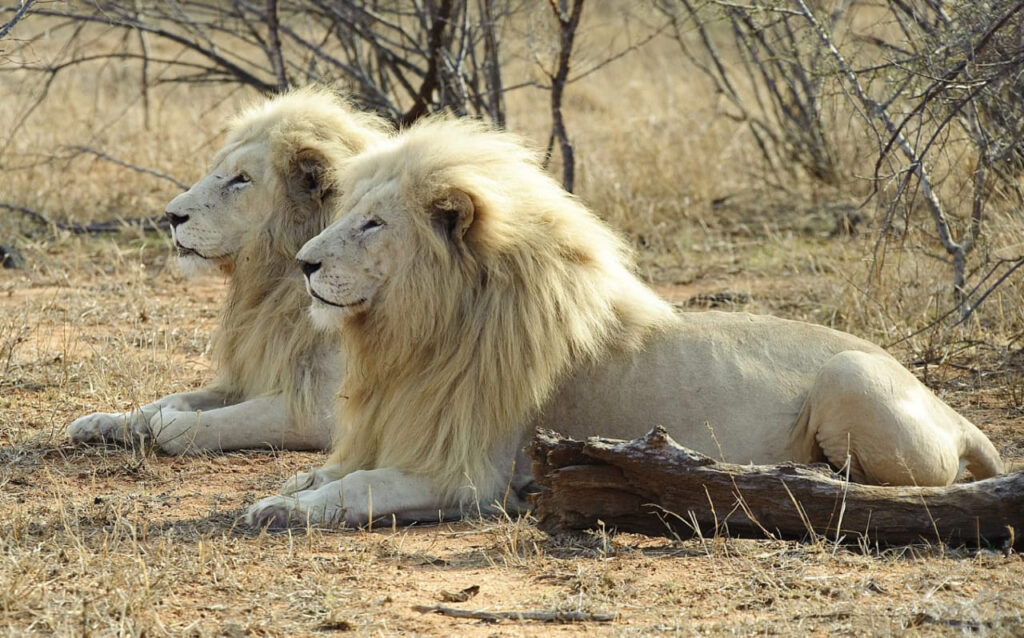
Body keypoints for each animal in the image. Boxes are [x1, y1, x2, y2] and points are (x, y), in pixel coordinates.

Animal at [68, 90, 387, 456]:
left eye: (241, 179)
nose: (171, 215)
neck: (277, 284)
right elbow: (169, 398)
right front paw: (100, 422)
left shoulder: (324, 412)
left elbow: (184, 423)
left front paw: (161, 422)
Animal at [245, 116, 999, 528]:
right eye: (347, 212)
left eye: (373, 224)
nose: (305, 264)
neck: (414, 336)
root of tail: (955, 413)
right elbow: (326, 471)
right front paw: (287, 491)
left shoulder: (470, 477)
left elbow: (358, 486)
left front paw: (286, 512)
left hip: (850, 375)